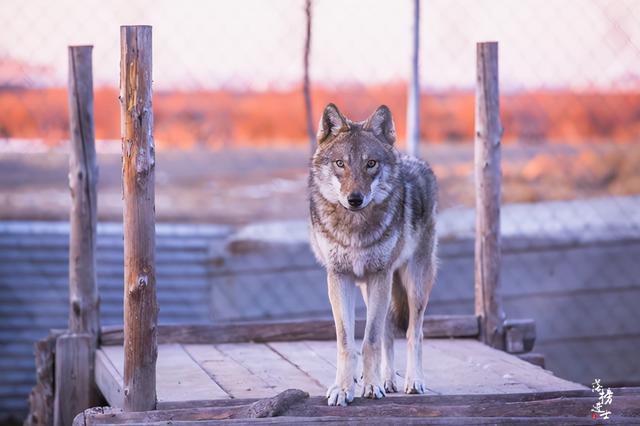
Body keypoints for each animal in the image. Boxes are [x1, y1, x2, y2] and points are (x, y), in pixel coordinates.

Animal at [308, 103, 438, 406]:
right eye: (340, 164)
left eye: (371, 164)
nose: (355, 199)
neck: (355, 227)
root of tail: (415, 161)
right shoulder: (340, 277)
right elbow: (348, 342)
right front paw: (343, 389)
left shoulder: (380, 275)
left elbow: (371, 340)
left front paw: (370, 387)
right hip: (374, 289)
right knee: (389, 332)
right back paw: (387, 380)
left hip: (413, 283)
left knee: (414, 332)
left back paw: (413, 382)